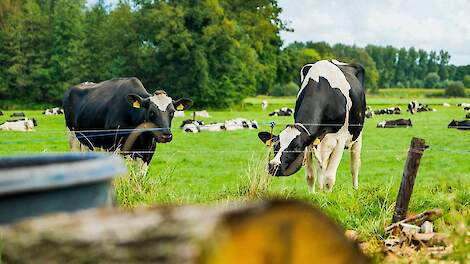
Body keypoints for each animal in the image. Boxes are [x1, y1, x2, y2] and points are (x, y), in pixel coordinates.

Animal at [258, 59, 366, 192]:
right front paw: (314, 194)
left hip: (357, 135)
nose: (273, 165)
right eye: (275, 145)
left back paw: (355, 188)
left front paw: (328, 196)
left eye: (296, 147)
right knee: (322, 166)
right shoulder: (310, 142)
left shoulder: (340, 140)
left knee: (355, 164)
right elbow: (310, 176)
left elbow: (330, 178)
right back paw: (320, 189)